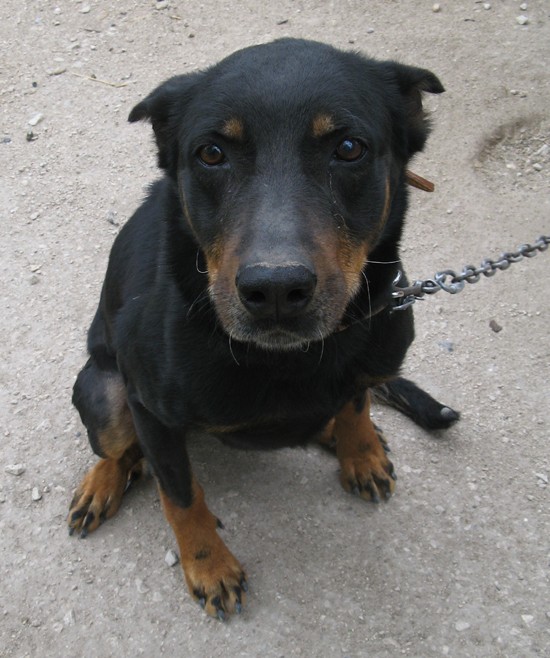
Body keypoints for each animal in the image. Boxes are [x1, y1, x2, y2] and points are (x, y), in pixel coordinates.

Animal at [69, 38, 460, 616]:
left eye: (349, 147)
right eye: (211, 153)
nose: (275, 290)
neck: (287, 358)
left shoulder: (367, 359)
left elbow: (357, 402)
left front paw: (359, 449)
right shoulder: (149, 408)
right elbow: (181, 496)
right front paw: (209, 565)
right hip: (103, 391)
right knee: (118, 446)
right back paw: (104, 481)